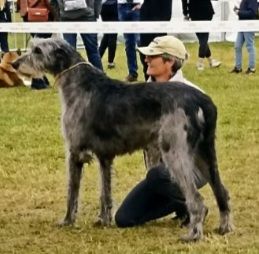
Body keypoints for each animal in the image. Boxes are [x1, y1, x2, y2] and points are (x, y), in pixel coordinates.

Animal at [12, 38, 235, 242]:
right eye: (31, 47)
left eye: (37, 50)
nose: (14, 63)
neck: (78, 82)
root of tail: (202, 100)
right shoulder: (104, 157)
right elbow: (105, 192)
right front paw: (103, 220)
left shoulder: (74, 152)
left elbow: (72, 192)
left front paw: (67, 221)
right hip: (204, 154)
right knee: (222, 191)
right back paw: (224, 227)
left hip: (175, 153)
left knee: (196, 200)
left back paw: (193, 234)